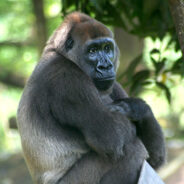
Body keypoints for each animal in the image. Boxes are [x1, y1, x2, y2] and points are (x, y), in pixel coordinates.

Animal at [17, 12, 165, 183]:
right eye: (92, 51)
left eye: (107, 48)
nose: (105, 66)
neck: (60, 54)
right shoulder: (66, 78)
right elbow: (112, 136)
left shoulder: (114, 84)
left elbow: (155, 159)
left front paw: (135, 108)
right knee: (131, 148)